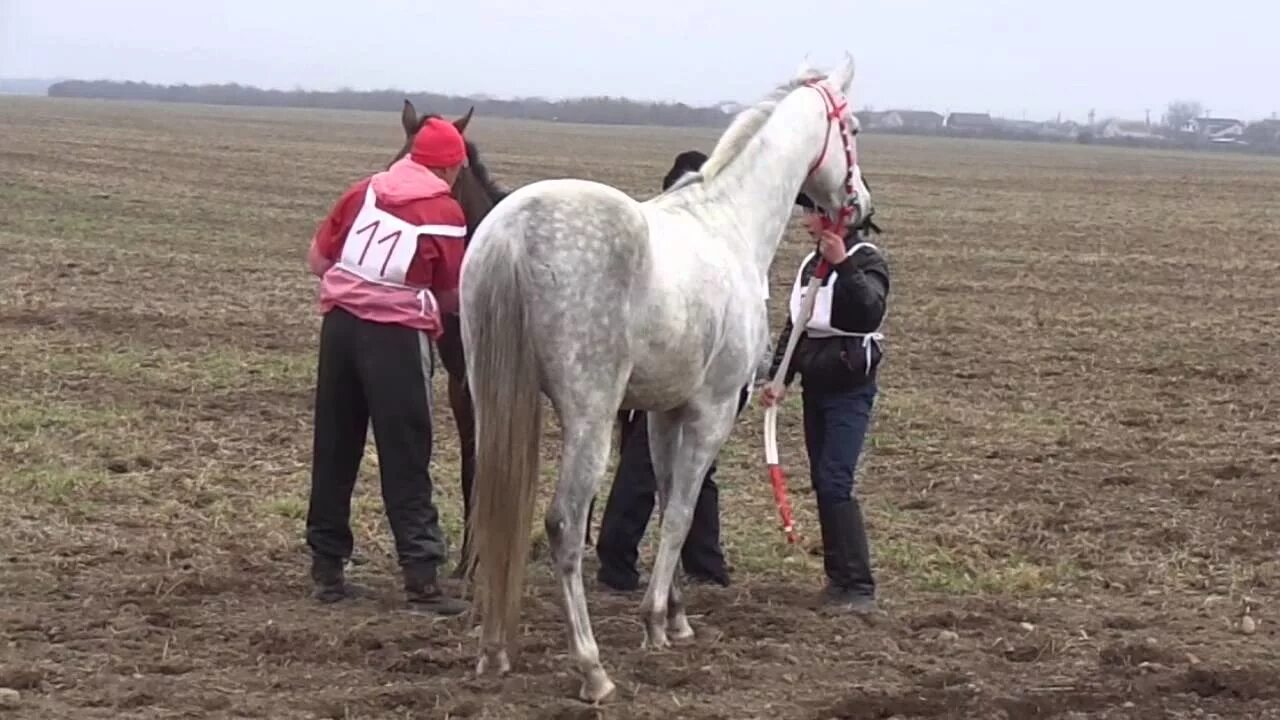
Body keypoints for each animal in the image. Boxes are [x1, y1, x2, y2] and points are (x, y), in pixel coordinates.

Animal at [460, 57, 870, 702]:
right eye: (851, 127)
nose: (860, 204)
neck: (729, 223)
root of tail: (514, 231)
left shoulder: (661, 411)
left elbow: (664, 498)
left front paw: (674, 617)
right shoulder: (712, 410)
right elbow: (681, 510)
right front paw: (656, 620)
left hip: (491, 399)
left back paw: (494, 652)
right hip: (590, 417)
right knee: (564, 523)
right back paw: (593, 670)